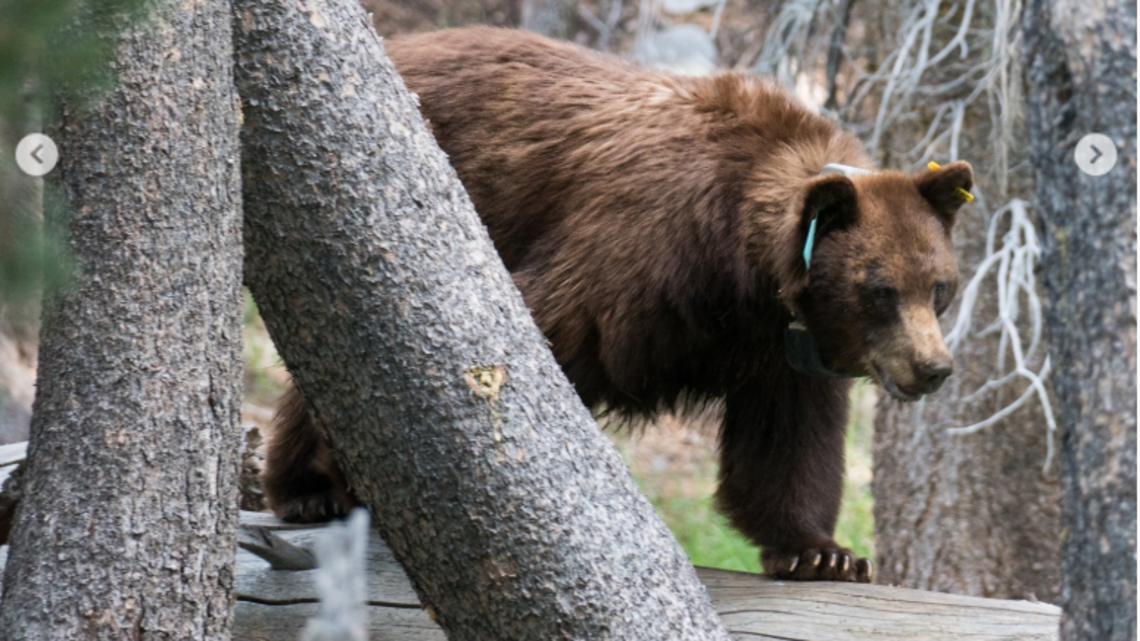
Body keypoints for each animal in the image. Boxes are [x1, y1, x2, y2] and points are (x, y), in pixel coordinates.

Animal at [262, 26, 973, 583]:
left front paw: (823, 553)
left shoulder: (782, 351)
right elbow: (527, 341)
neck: (740, 265)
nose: (934, 368)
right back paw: (308, 489)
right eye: (879, 290)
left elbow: (789, 444)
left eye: (939, 286)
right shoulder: (637, 257)